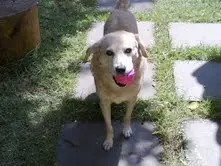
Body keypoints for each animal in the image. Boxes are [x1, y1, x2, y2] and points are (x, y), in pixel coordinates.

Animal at [83, 0, 148, 150]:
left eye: (128, 50)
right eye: (109, 53)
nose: (120, 69)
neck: (118, 88)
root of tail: (121, 9)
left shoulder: (132, 99)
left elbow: (127, 116)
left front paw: (126, 129)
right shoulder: (104, 103)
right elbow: (109, 125)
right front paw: (109, 141)